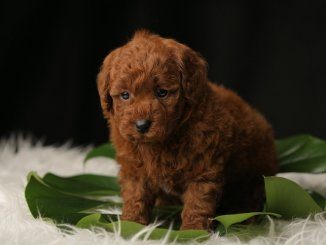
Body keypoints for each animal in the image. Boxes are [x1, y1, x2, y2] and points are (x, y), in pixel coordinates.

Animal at [96, 30, 278, 230]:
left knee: (251, 196)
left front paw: (193, 230)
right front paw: (130, 224)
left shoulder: (203, 168)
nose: (142, 125)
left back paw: (245, 218)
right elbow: (136, 195)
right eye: (125, 95)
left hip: (256, 175)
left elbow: (197, 202)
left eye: (162, 92)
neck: (163, 140)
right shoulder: (135, 169)